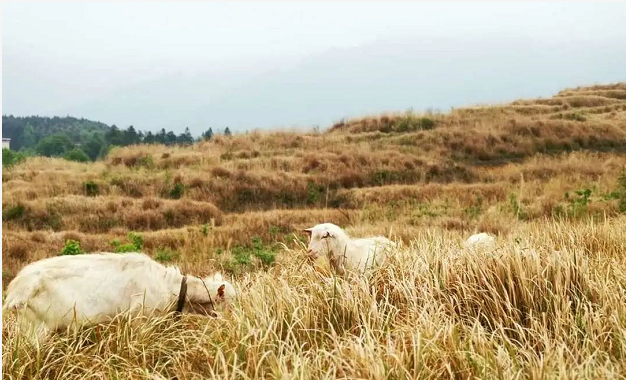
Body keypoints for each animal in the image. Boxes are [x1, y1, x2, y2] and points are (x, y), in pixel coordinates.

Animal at [3, 252, 236, 344]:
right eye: (230, 304)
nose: (236, 325)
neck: (168, 286)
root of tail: (17, 287)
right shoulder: (140, 321)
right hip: (36, 330)